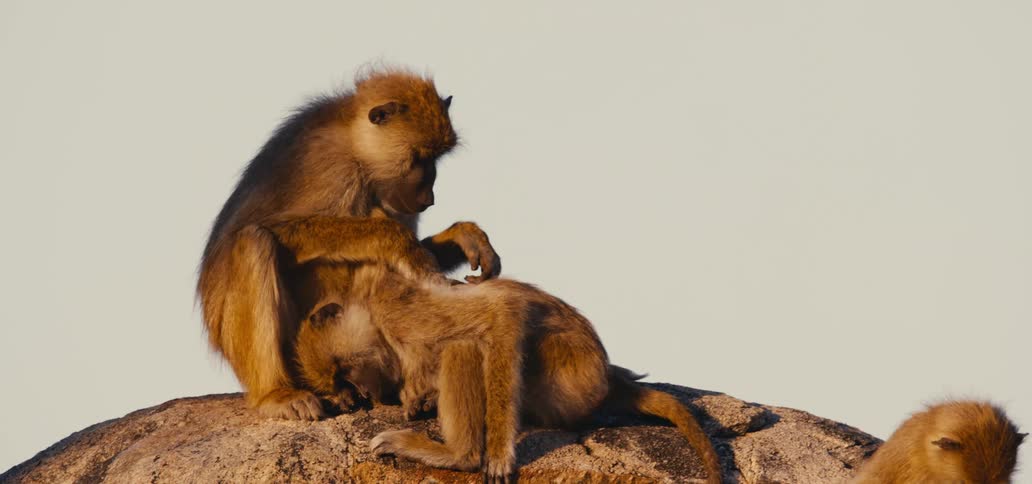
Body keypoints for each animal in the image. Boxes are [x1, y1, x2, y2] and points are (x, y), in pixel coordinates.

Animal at [197, 67, 501, 421]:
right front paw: (399, 242)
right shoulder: (330, 166)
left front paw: (461, 237)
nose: (429, 198)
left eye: (436, 158)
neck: (355, 142)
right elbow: (274, 228)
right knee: (253, 241)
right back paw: (277, 393)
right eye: (420, 158)